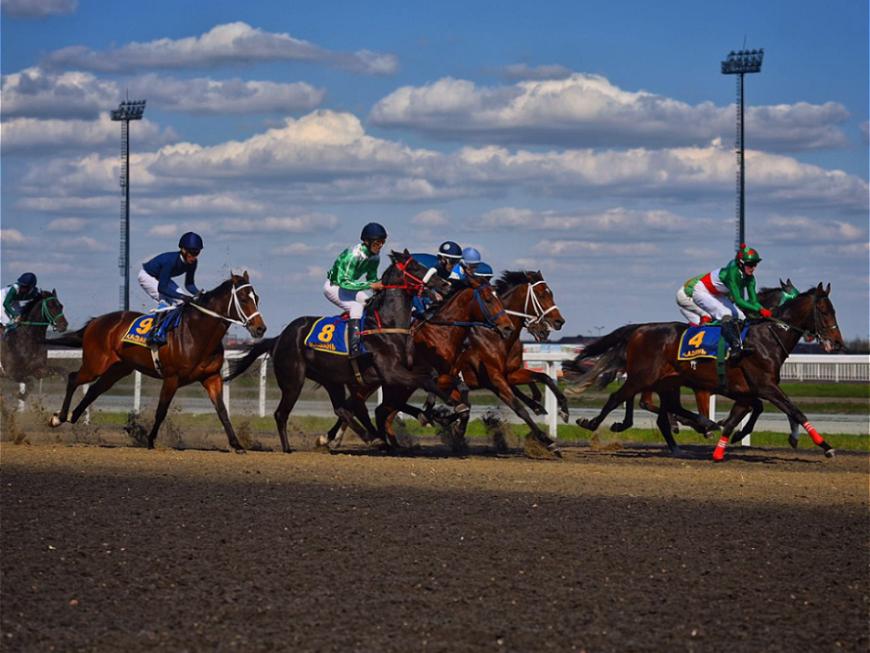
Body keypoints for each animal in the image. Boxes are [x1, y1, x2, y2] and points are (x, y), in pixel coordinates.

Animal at [47, 273, 266, 451]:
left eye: (257, 298)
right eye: (244, 299)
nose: (260, 328)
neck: (197, 333)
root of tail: (95, 321)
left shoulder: (211, 377)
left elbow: (222, 411)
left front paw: (237, 444)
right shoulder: (171, 378)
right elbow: (161, 410)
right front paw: (150, 440)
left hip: (118, 369)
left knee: (94, 389)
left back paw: (73, 416)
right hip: (96, 363)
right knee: (73, 378)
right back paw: (59, 417)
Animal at [224, 251, 459, 453]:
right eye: (416, 267)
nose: (446, 284)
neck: (386, 326)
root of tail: (280, 337)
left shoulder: (396, 373)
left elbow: (428, 378)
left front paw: (436, 412)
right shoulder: (391, 373)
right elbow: (423, 381)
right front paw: (454, 405)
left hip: (331, 380)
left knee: (343, 408)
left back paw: (373, 438)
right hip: (293, 381)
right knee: (282, 413)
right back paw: (289, 448)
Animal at [569, 283, 844, 460]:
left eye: (834, 311)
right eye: (825, 311)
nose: (838, 343)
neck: (764, 338)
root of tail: (639, 329)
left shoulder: (747, 390)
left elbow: (749, 412)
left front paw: (729, 438)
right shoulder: (764, 386)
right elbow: (793, 410)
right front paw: (826, 446)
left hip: (667, 382)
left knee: (664, 412)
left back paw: (688, 436)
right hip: (642, 377)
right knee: (619, 398)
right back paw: (590, 422)